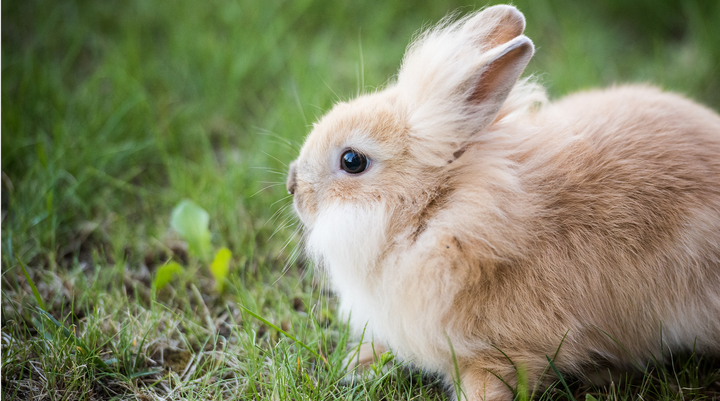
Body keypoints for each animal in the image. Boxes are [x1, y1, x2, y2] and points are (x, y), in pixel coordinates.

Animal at [286, 3, 720, 400]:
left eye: (352, 161)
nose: (292, 185)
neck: (438, 215)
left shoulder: (502, 354)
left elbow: (487, 386)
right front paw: (358, 363)